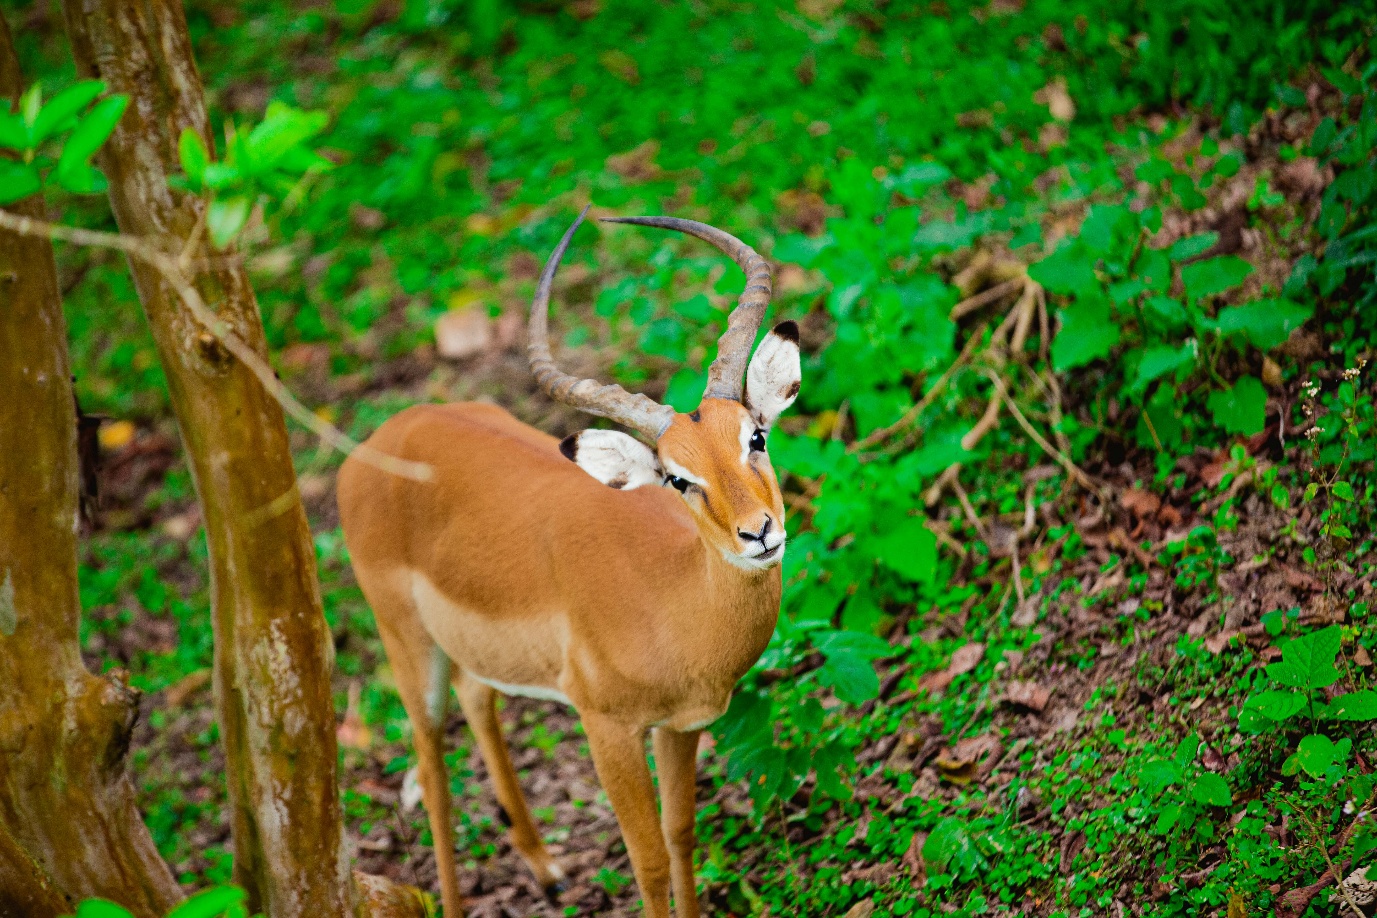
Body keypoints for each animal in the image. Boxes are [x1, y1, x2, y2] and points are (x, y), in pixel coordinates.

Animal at [337, 209, 801, 918]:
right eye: (677, 478)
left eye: (757, 436)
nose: (760, 532)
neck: (670, 598)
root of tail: (374, 447)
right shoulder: (606, 729)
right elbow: (646, 859)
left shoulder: (680, 726)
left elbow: (680, 833)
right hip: (407, 644)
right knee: (432, 769)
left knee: (478, 697)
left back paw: (548, 869)